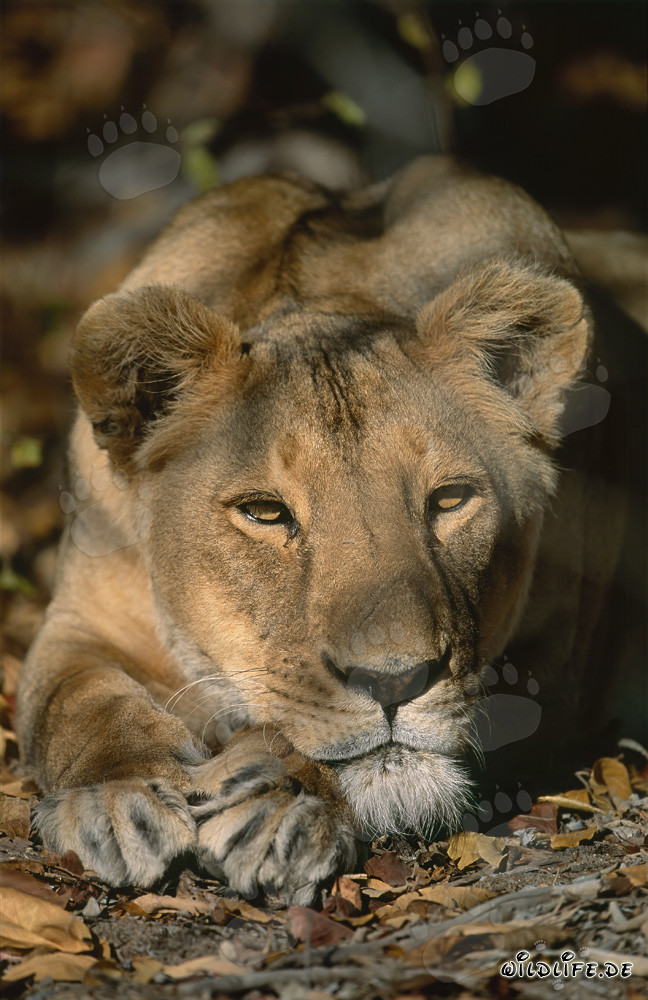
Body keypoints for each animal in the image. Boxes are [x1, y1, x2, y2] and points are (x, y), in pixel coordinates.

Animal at [16, 156, 646, 903]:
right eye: (265, 513)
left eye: (450, 500)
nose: (395, 683)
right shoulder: (82, 619)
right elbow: (77, 705)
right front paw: (118, 802)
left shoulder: (561, 661)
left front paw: (278, 802)